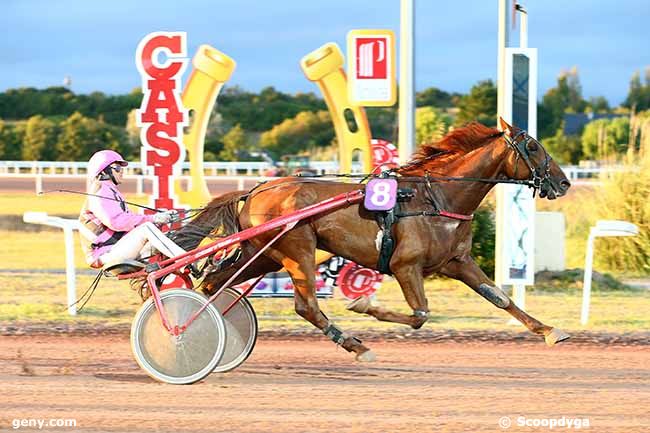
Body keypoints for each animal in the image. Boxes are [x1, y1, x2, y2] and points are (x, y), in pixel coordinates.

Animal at [172, 120, 568, 360]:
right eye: (533, 147)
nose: (563, 182)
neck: (436, 197)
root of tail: (254, 190)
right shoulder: (406, 266)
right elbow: (420, 315)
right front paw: (363, 305)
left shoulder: (458, 262)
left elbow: (500, 298)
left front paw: (550, 330)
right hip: (297, 250)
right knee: (306, 306)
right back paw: (355, 345)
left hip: (264, 253)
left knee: (212, 283)